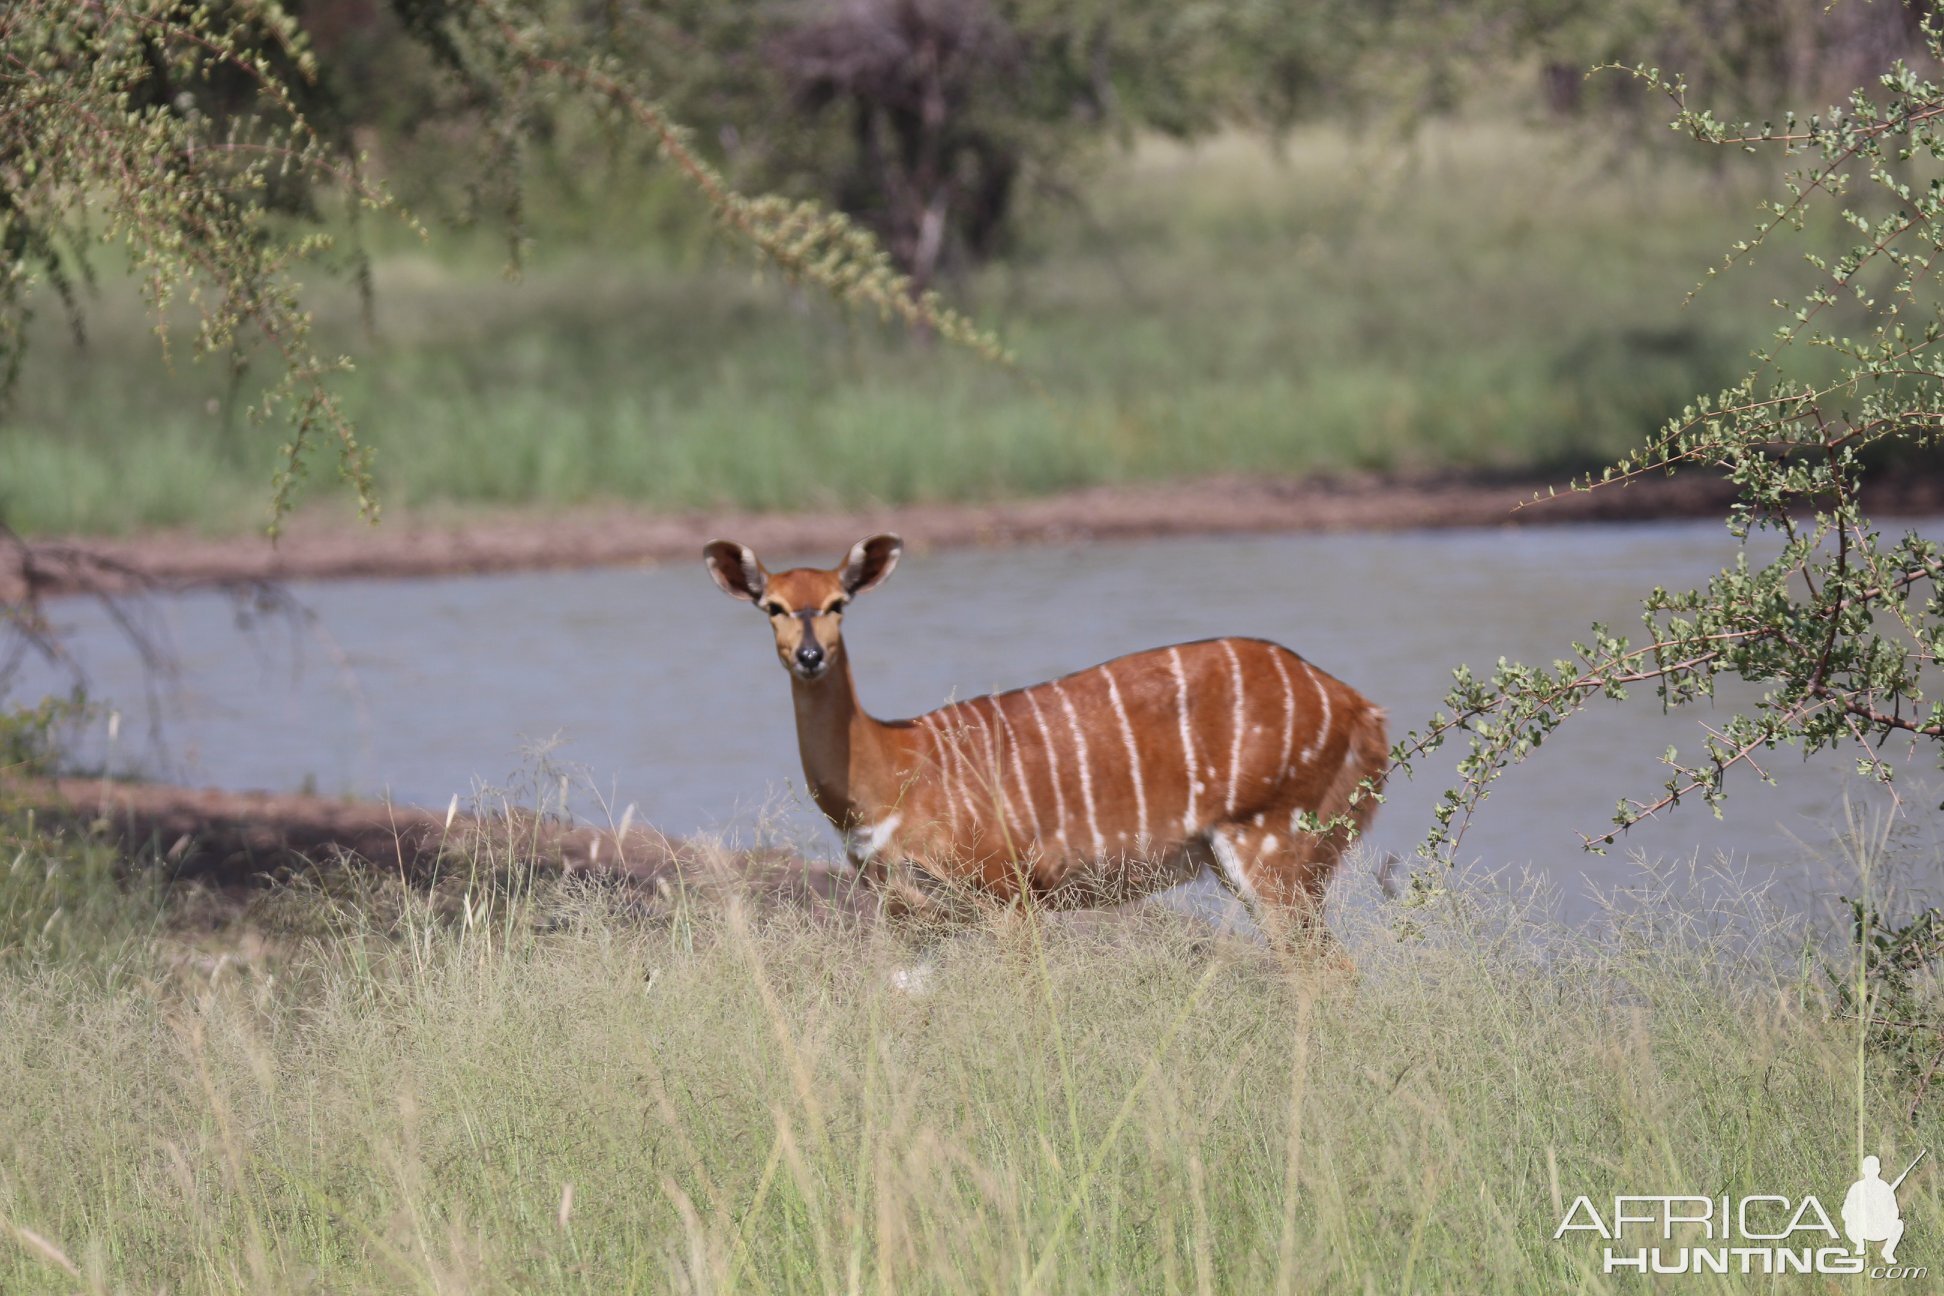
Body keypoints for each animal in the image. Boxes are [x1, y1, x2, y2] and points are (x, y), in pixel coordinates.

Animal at [707, 532, 1391, 948]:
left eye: (838, 602)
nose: (810, 656)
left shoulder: (1008, 894)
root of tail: (1363, 709)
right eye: (771, 606)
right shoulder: (908, 911)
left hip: (1276, 849)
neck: (897, 763)